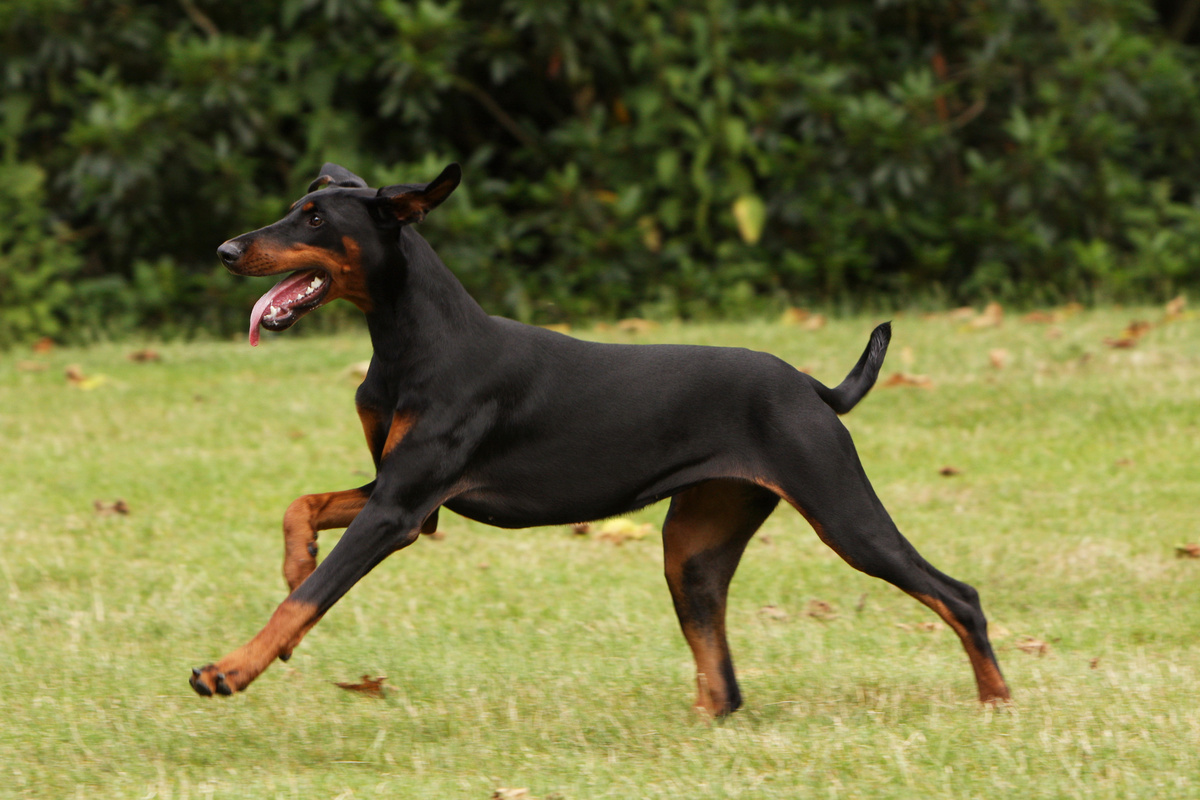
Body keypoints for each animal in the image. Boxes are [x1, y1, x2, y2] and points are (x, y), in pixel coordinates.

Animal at [189, 163, 1012, 714]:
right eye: (295, 209)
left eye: (316, 220)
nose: (226, 250)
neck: (408, 340)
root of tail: (809, 386)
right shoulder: (409, 500)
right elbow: (300, 509)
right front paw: (296, 560)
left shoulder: (400, 509)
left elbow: (306, 602)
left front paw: (231, 669)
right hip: (695, 547)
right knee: (724, 682)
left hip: (841, 510)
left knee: (958, 594)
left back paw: (996, 699)